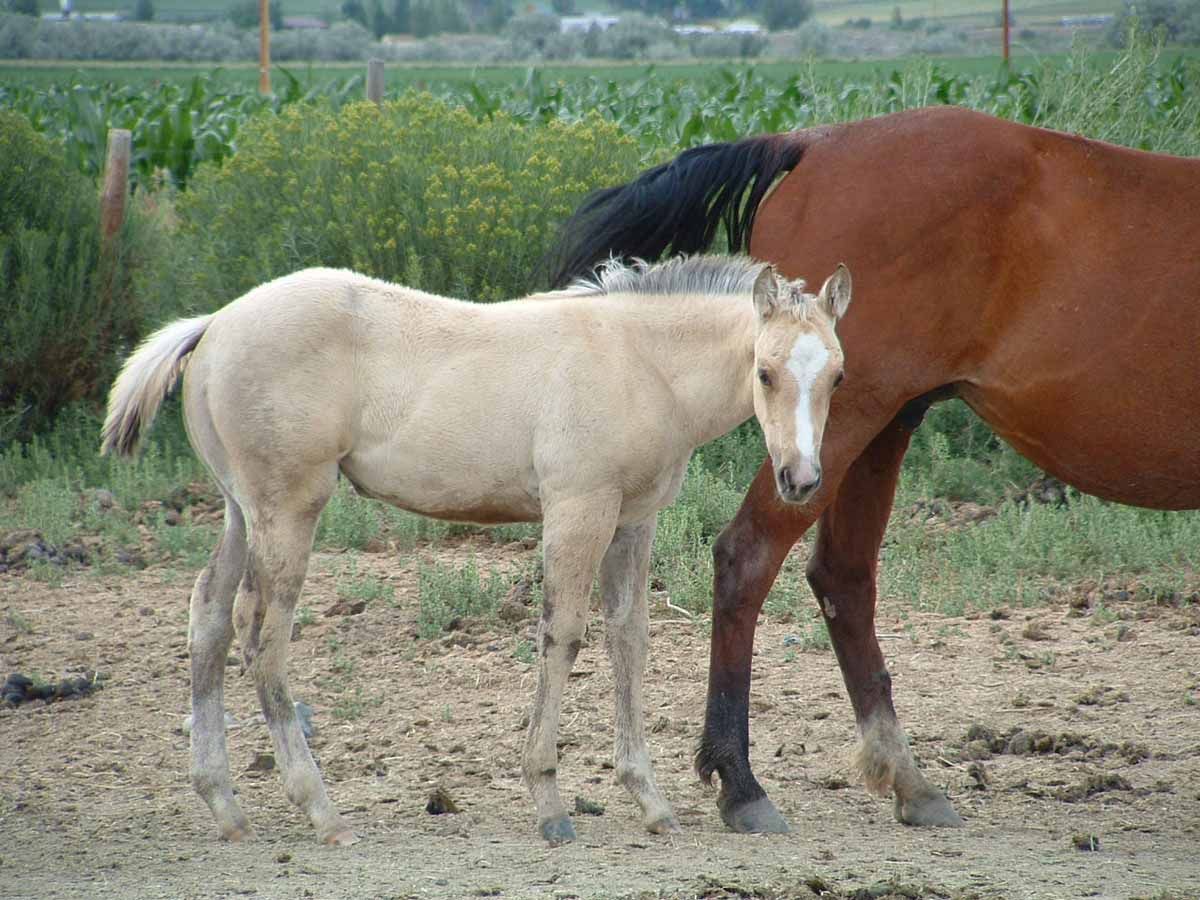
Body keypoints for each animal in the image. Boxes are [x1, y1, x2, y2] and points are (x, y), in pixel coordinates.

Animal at [101, 255, 853, 846]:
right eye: (764, 372)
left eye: (837, 377)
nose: (800, 479)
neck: (639, 362)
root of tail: (215, 323)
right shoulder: (577, 509)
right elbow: (563, 635)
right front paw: (549, 802)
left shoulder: (632, 522)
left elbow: (629, 639)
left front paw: (650, 800)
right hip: (287, 511)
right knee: (261, 636)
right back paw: (320, 810)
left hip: (239, 511)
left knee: (208, 616)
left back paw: (224, 804)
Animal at [549, 104, 1200, 834]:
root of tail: (811, 142)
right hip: (849, 426)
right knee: (749, 555)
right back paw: (742, 782)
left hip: (880, 425)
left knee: (842, 576)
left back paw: (905, 776)